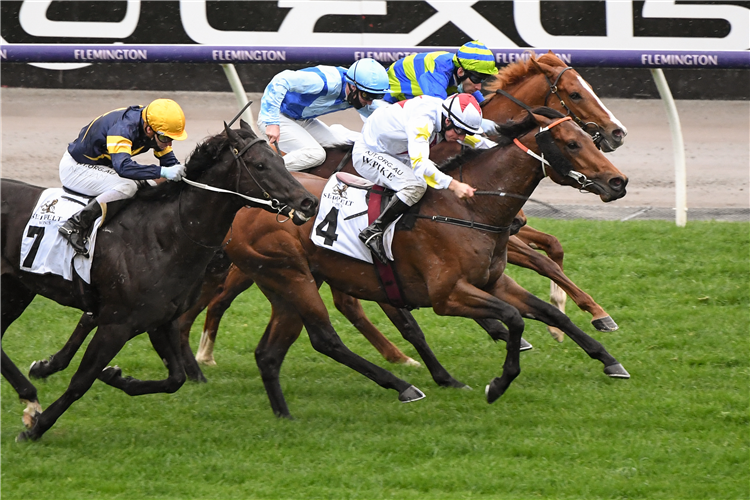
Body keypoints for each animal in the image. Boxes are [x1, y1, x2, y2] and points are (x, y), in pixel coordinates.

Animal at [0, 121, 318, 442]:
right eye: (260, 165)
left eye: (281, 160)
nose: (308, 202)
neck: (164, 235)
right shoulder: (116, 324)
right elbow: (82, 380)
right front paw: (37, 428)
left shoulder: (159, 321)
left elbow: (175, 378)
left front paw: (117, 377)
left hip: (15, 290)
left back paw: (30, 396)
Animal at [216, 106, 628, 418]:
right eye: (572, 143)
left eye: (589, 138)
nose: (618, 182)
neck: (469, 210)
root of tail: (246, 209)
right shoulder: (448, 296)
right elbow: (513, 320)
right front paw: (498, 384)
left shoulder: (494, 282)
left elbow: (550, 312)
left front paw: (609, 360)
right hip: (291, 278)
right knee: (323, 337)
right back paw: (406, 385)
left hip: (290, 286)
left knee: (270, 353)